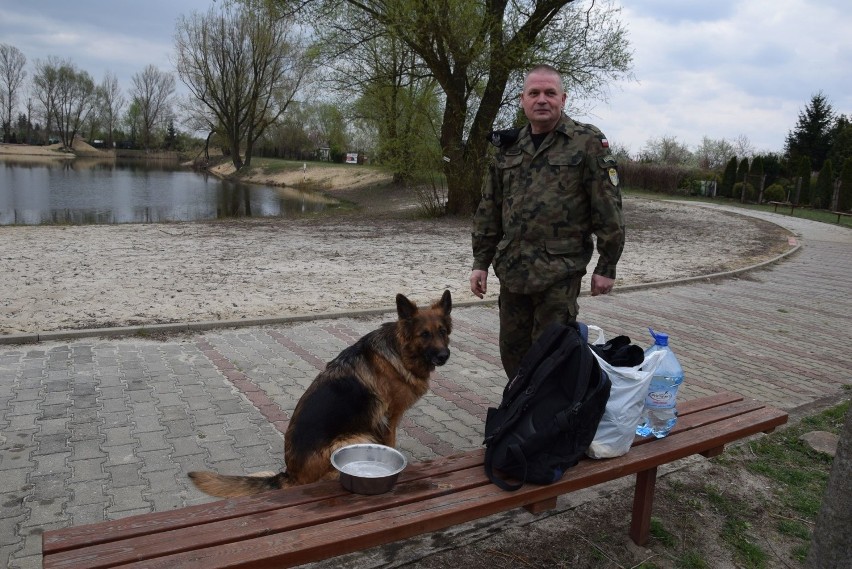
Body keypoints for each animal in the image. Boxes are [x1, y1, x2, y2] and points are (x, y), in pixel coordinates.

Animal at [189, 290, 450, 494]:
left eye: (443, 332)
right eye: (424, 334)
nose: (444, 356)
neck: (400, 350)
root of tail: (289, 474)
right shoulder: (389, 419)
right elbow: (391, 444)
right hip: (356, 437)